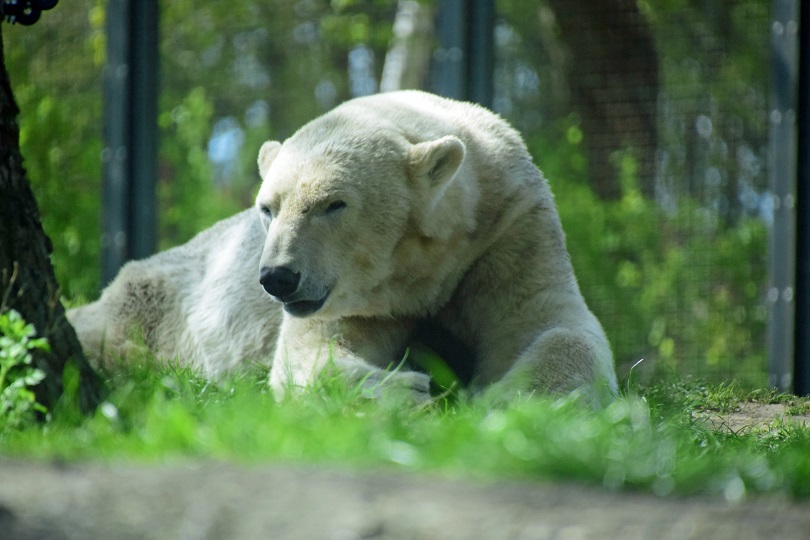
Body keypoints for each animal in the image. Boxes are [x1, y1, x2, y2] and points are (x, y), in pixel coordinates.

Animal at [69, 90, 616, 402]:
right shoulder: (355, 298)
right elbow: (312, 353)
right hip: (153, 308)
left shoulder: (508, 229)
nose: (277, 277)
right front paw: (408, 390)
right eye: (268, 207)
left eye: (333, 204)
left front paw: (508, 398)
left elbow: (546, 321)